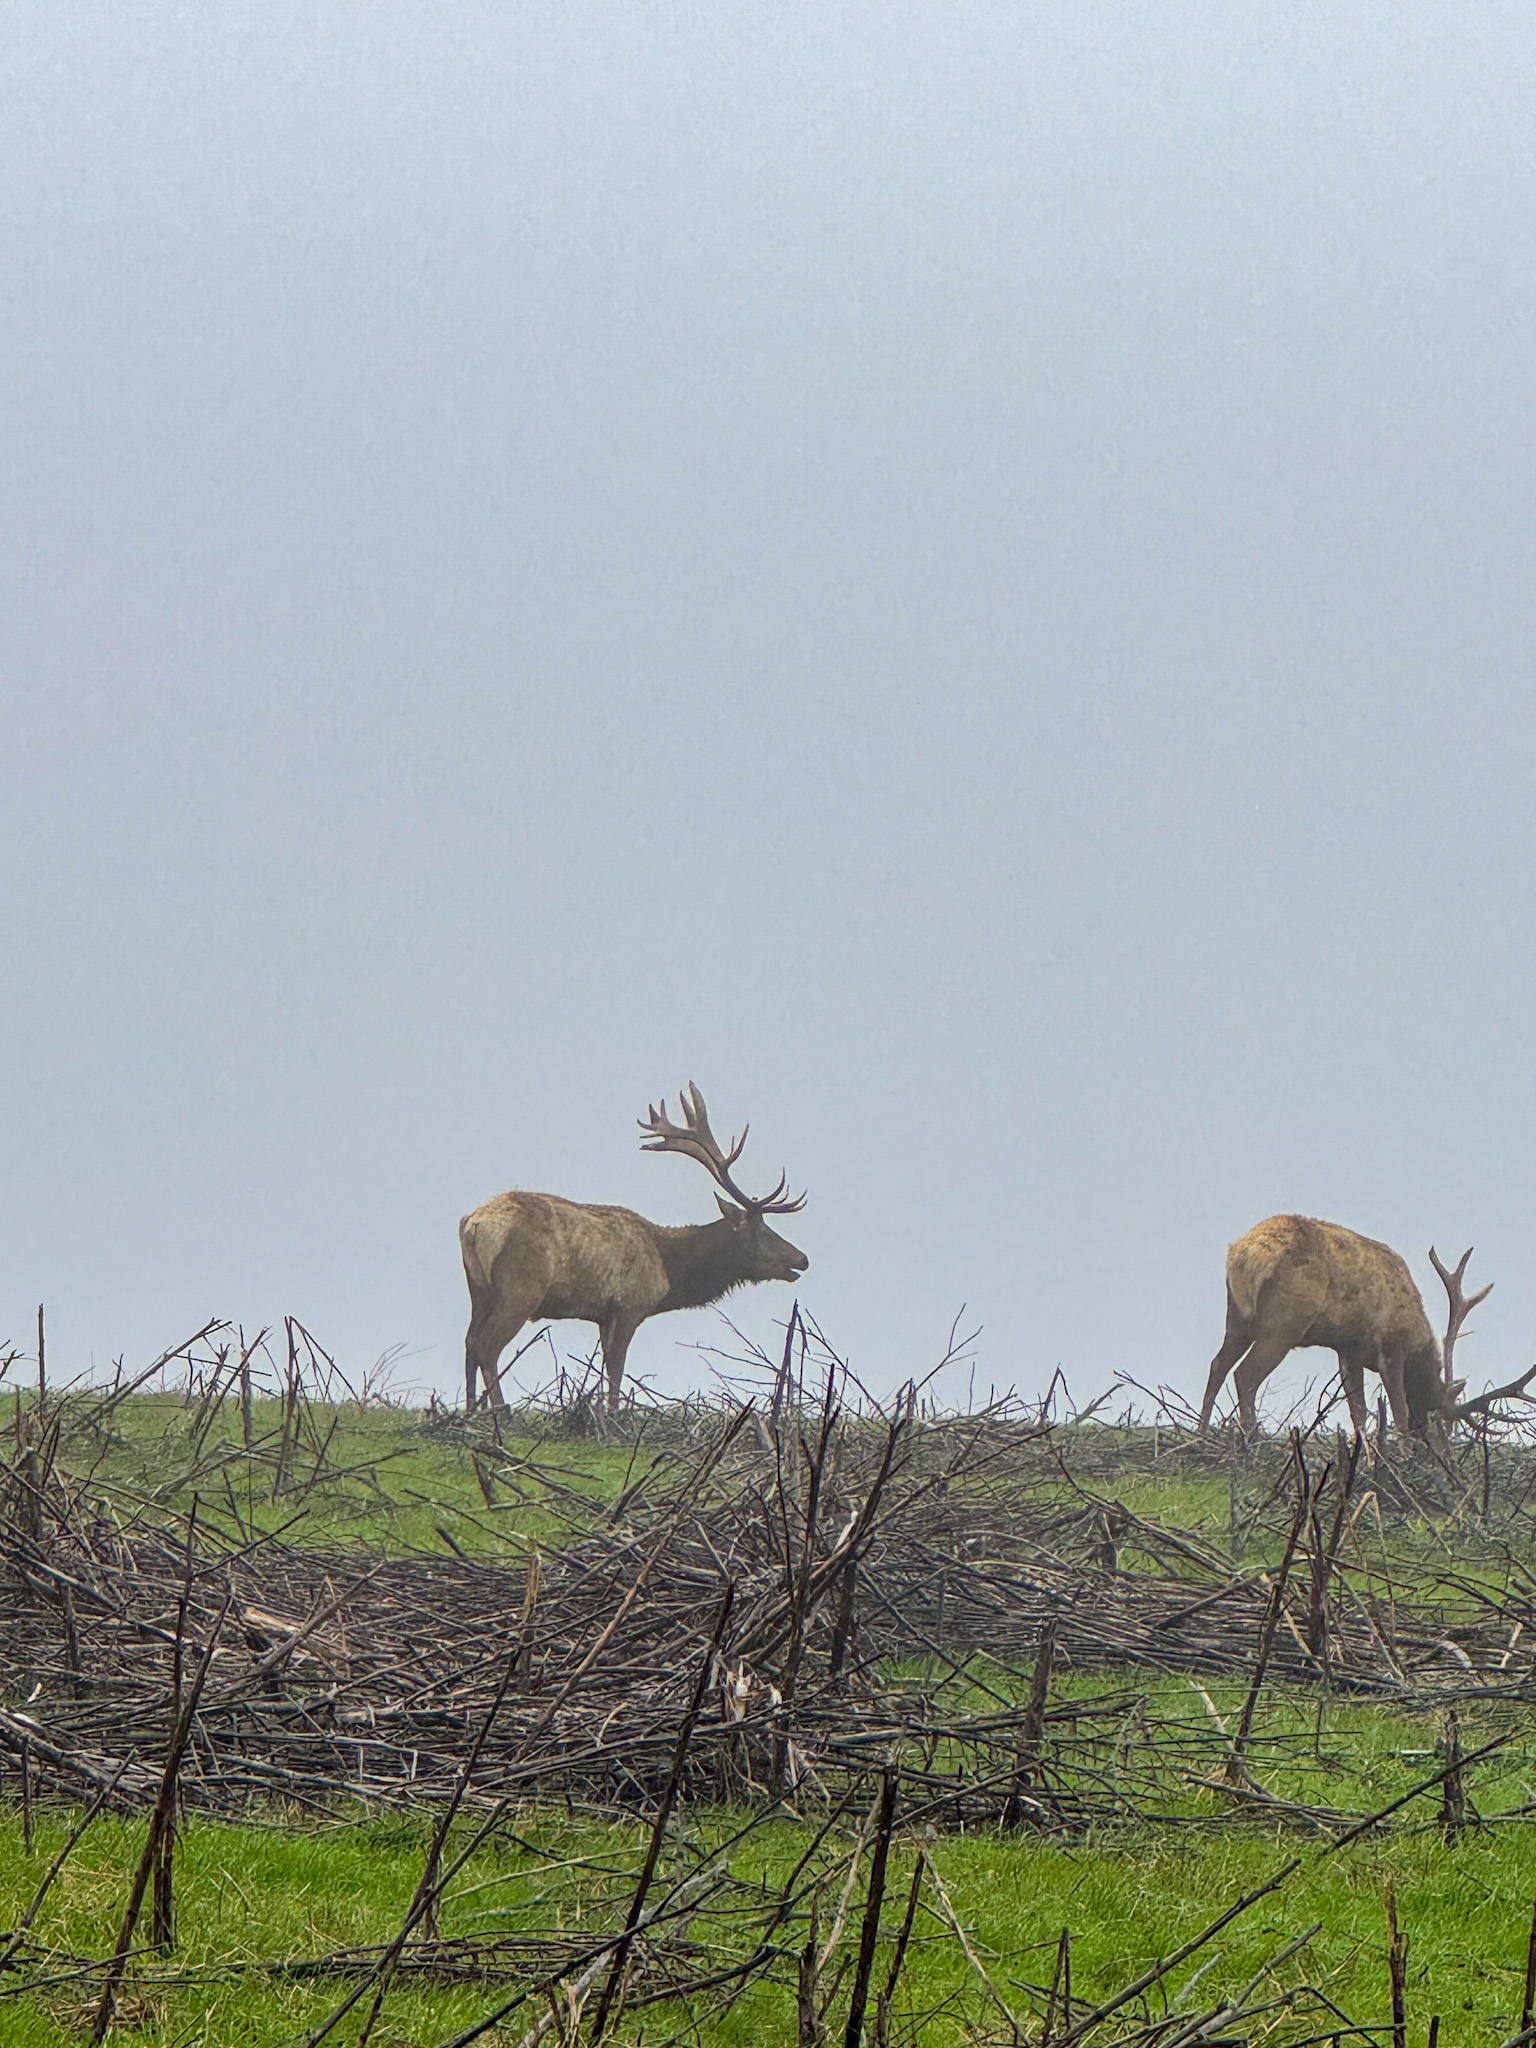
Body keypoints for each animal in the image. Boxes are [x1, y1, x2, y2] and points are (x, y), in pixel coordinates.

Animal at [459, 1085, 808, 1413]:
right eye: (761, 1231)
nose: (802, 1259)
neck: (669, 1270)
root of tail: (474, 1224)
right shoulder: (630, 1304)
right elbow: (617, 1367)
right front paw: (613, 1416)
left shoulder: (603, 1315)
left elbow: (606, 1366)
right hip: (520, 1289)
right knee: (488, 1346)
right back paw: (500, 1411)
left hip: (479, 1290)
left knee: (470, 1342)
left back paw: (470, 1410)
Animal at [1197, 1213, 1536, 1438]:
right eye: (1439, 1420)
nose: (1440, 1456)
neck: (1416, 1335)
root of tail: (1246, 1253)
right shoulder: (1390, 1346)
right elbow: (1398, 1409)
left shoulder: (1348, 1350)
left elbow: (1357, 1411)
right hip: (1285, 1323)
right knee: (1245, 1375)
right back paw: (1251, 1436)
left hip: (1238, 1317)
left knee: (1218, 1364)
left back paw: (1201, 1431)